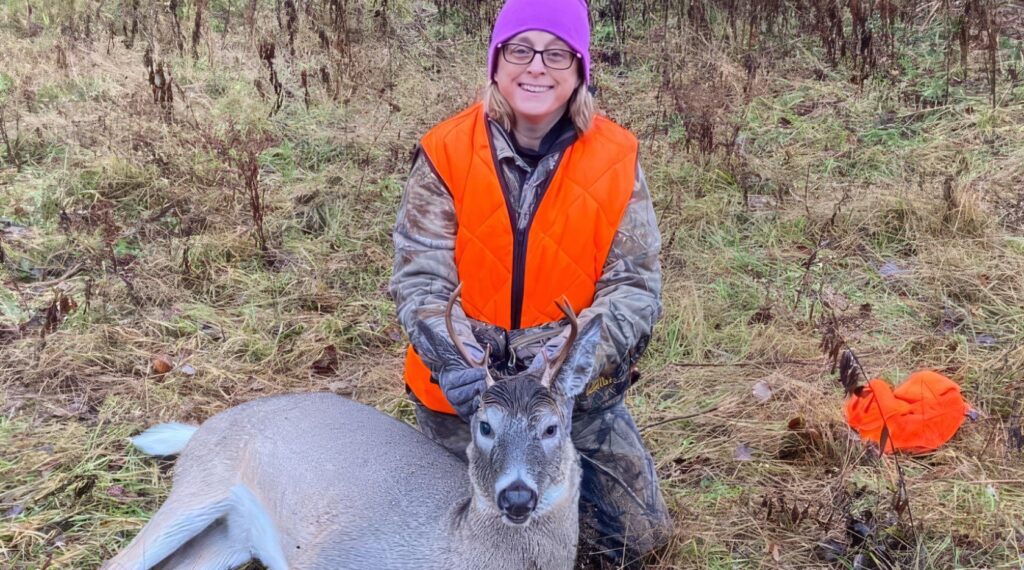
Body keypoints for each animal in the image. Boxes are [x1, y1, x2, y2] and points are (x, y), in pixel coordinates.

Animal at [103, 287, 601, 570]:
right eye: (484, 425)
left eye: (551, 428)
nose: (516, 497)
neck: (455, 540)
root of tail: (201, 429)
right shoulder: (330, 555)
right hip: (201, 484)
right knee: (120, 561)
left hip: (231, 537)